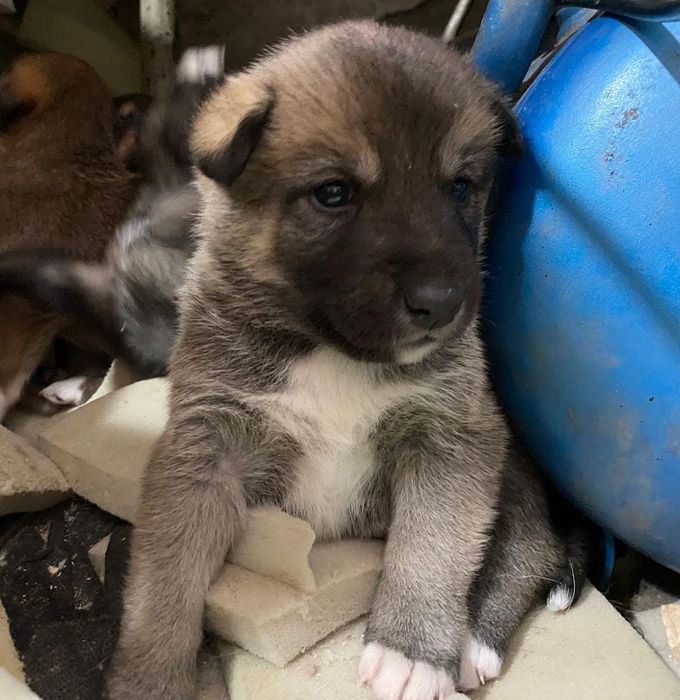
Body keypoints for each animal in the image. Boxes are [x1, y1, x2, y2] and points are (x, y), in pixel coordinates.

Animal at [108, 22, 587, 700]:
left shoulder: (454, 435)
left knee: (529, 545)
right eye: (333, 193)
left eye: (461, 187)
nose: (444, 301)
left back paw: (471, 639)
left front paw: (411, 651)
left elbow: (434, 547)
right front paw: (150, 677)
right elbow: (163, 583)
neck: (333, 354)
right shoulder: (203, 448)